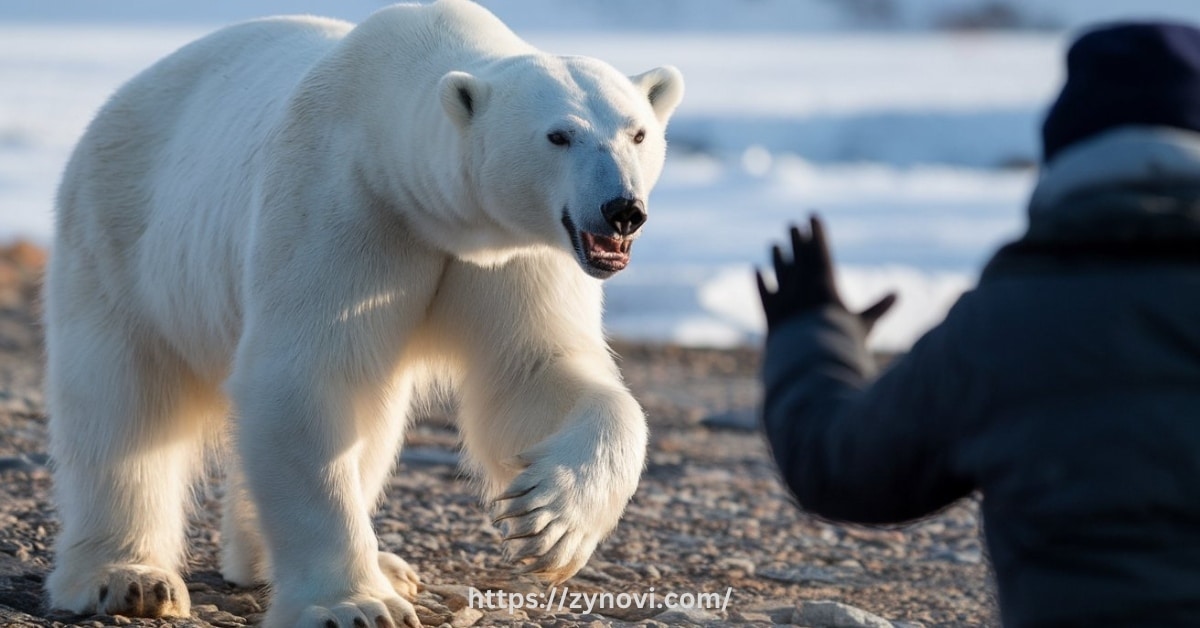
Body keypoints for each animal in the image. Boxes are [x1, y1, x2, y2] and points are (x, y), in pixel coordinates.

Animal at [42, 1, 686, 624]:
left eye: (637, 133)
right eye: (558, 135)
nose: (622, 210)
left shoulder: (512, 253)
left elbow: (534, 373)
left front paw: (551, 523)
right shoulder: (343, 207)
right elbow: (304, 379)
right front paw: (353, 605)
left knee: (374, 419)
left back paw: (351, 565)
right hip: (118, 241)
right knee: (122, 408)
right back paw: (128, 578)